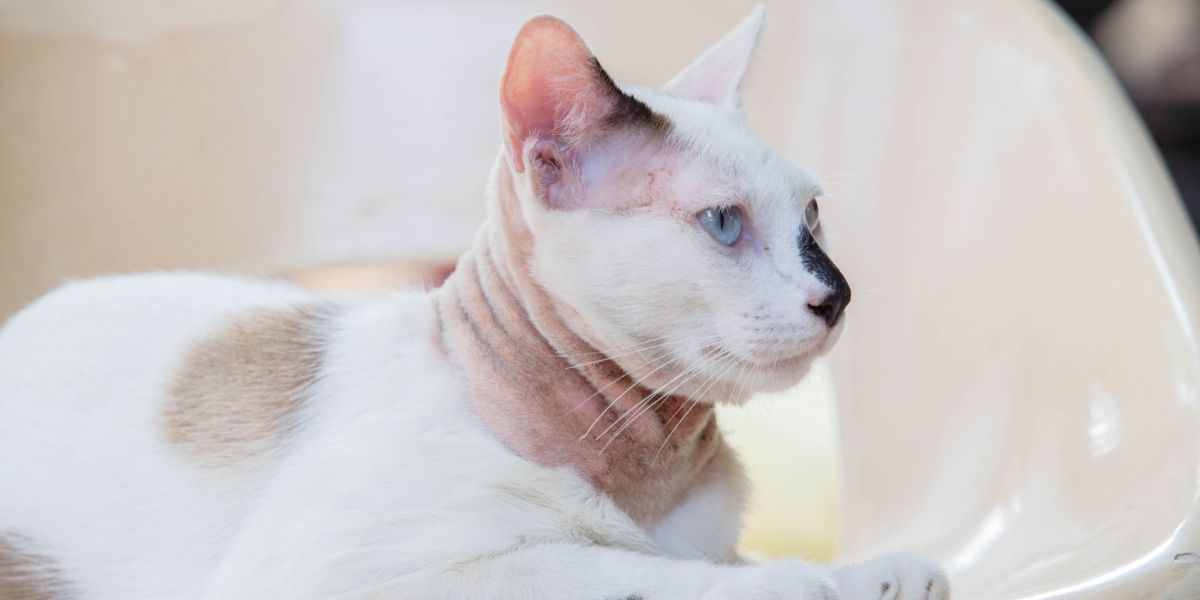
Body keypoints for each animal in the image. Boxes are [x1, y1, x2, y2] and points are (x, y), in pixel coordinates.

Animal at [0, 5, 945, 600]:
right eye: (723, 224)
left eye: (811, 216)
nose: (837, 295)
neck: (649, 463)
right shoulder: (361, 575)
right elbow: (619, 570)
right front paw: (800, 583)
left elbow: (728, 559)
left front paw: (878, 575)